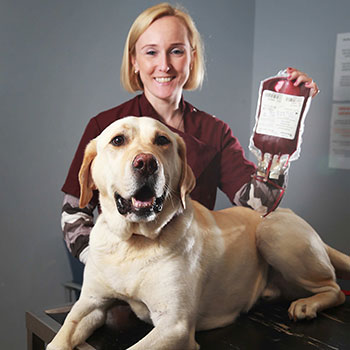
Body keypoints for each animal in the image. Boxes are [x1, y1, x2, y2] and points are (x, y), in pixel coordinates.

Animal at [48, 116, 348, 348]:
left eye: (162, 140)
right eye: (118, 140)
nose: (146, 162)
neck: (135, 241)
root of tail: (290, 213)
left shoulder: (174, 325)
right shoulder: (90, 304)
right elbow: (58, 340)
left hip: (271, 231)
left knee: (335, 288)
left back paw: (308, 305)